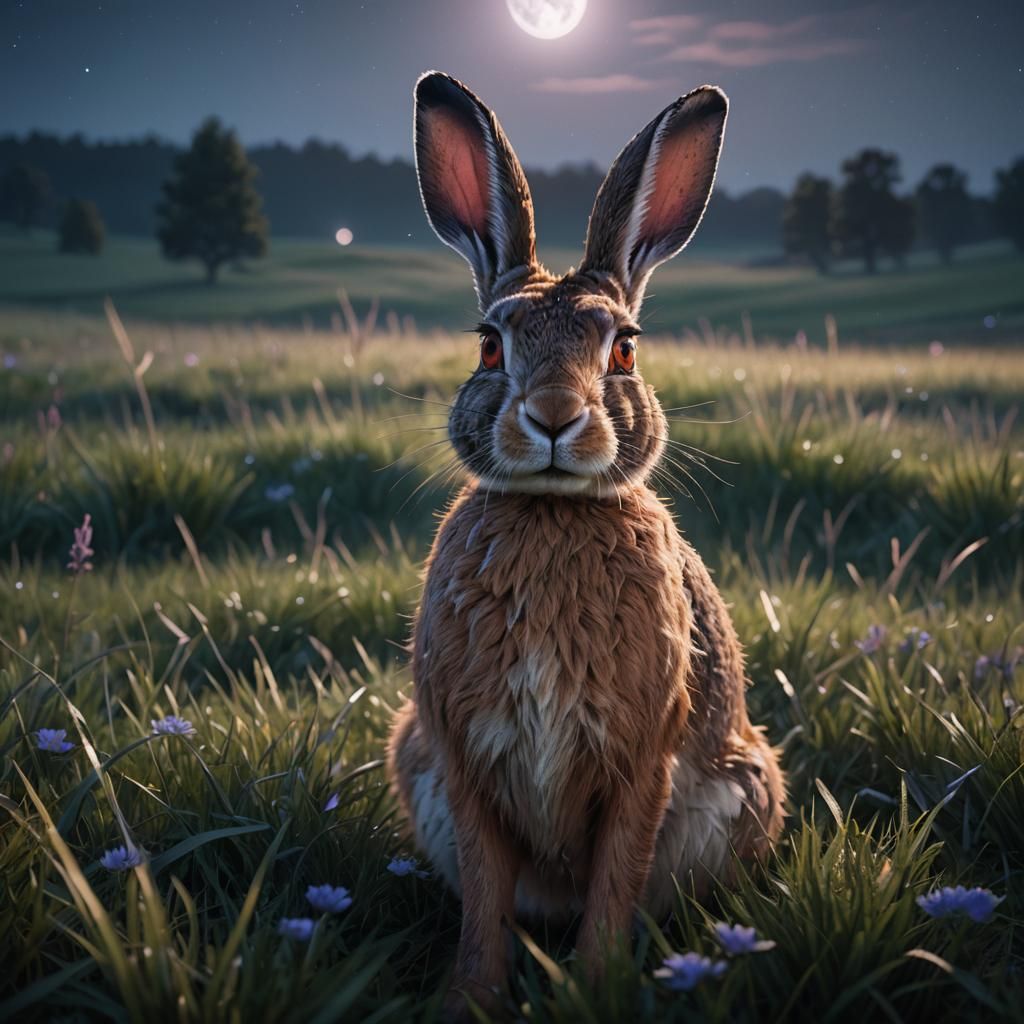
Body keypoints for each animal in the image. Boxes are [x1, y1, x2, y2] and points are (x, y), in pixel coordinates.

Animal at [387, 70, 785, 1013]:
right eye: (490, 347)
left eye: (625, 351)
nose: (555, 417)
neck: (555, 509)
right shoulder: (462, 757)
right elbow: (486, 895)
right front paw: (471, 997)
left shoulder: (642, 758)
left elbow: (614, 881)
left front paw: (599, 989)